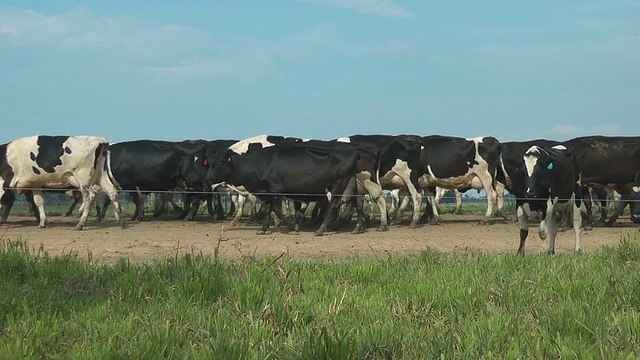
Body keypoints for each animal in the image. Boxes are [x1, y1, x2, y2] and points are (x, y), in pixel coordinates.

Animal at [204, 139, 384, 235]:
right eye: (210, 164)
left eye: (217, 164)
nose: (206, 180)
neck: (259, 163)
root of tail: (355, 151)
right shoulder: (266, 192)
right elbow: (268, 209)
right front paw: (263, 229)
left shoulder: (275, 189)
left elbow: (277, 209)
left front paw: (292, 226)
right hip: (355, 187)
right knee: (357, 204)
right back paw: (357, 227)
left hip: (340, 184)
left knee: (336, 205)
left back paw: (322, 229)